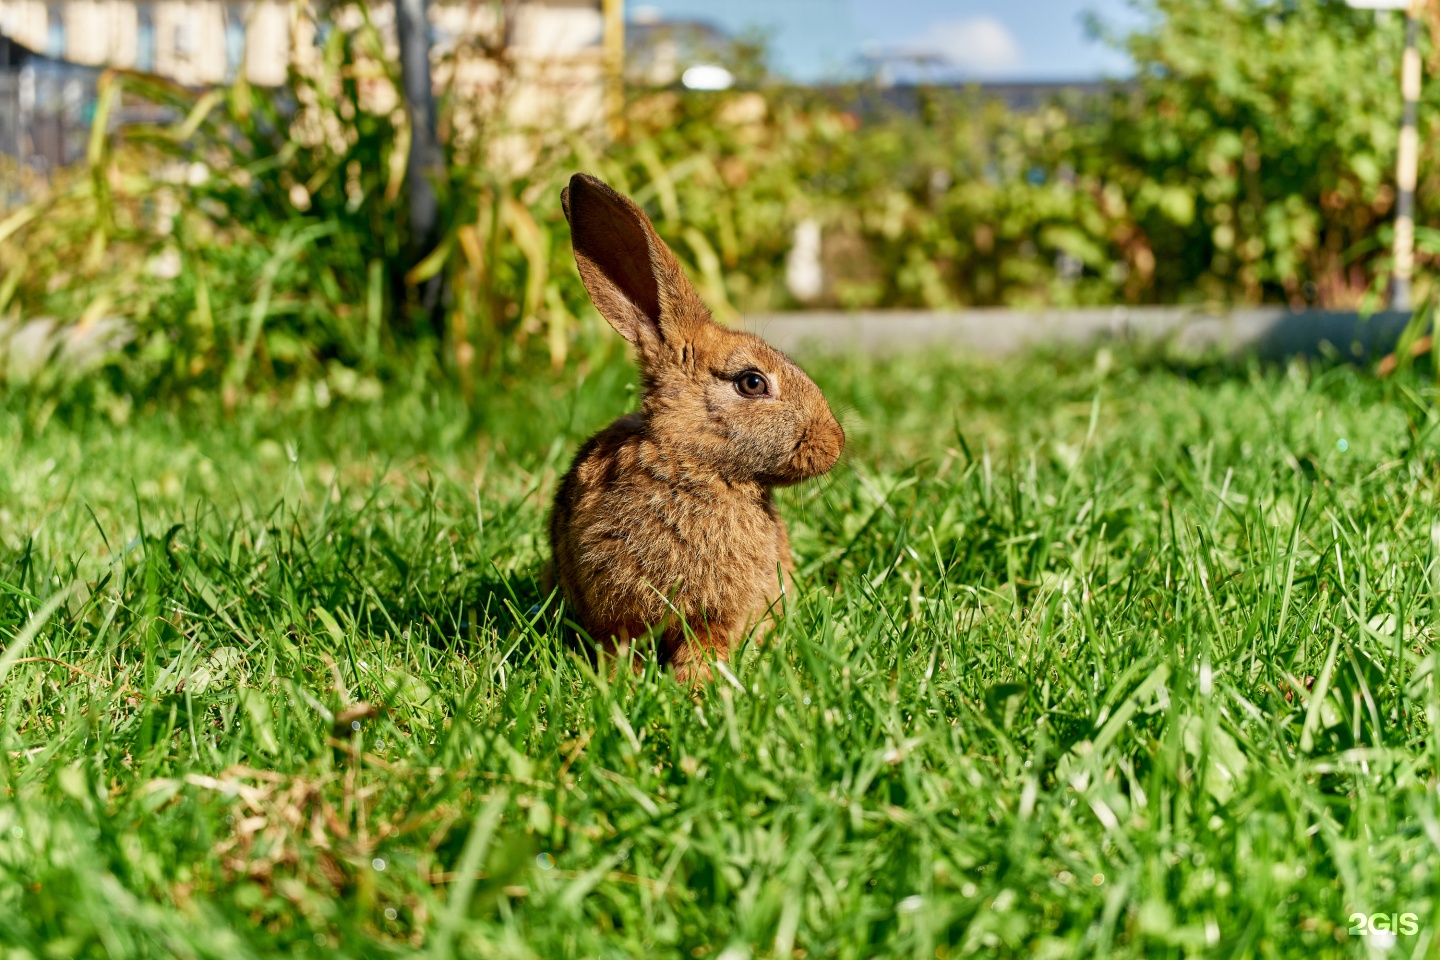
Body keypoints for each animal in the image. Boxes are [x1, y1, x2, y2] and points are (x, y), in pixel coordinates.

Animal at [547, 174, 840, 682]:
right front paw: (619, 685)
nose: (835, 444)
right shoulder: (615, 611)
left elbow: (705, 643)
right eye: (752, 382)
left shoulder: (716, 611)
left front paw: (697, 685)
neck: (692, 461)